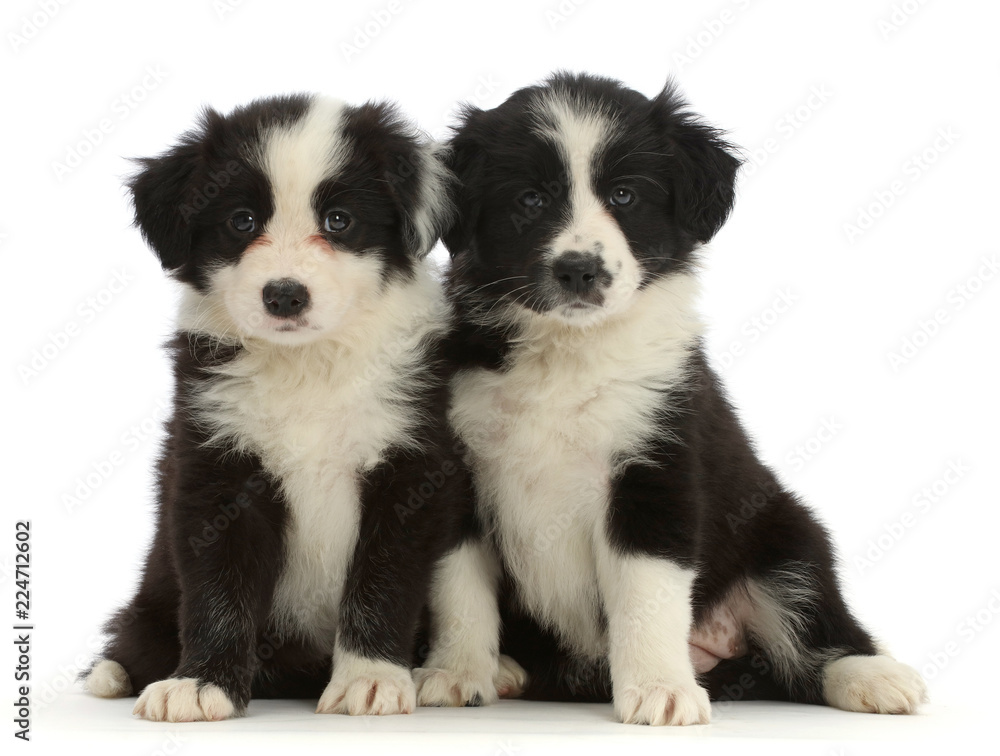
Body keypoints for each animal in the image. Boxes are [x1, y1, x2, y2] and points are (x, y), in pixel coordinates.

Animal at [82, 94, 468, 720]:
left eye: (339, 220)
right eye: (242, 220)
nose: (284, 295)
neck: (307, 366)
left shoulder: (411, 463)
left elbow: (383, 579)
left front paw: (369, 677)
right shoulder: (216, 464)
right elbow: (220, 589)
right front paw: (201, 682)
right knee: (135, 636)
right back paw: (116, 672)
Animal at [418, 75, 924, 728]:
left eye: (625, 195)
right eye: (529, 200)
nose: (579, 270)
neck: (571, 353)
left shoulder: (654, 469)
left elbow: (646, 592)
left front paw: (660, 689)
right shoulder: (459, 472)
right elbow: (461, 589)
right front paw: (457, 673)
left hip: (789, 538)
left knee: (811, 633)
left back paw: (872, 676)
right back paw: (508, 670)